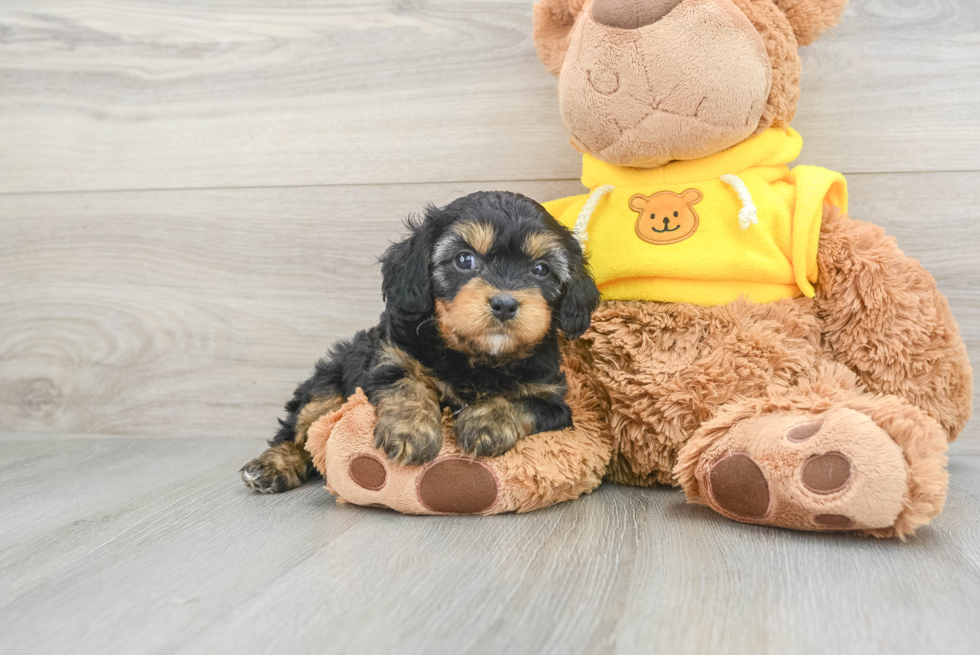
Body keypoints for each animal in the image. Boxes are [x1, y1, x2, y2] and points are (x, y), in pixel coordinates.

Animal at [241, 192, 600, 494]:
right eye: (464, 260)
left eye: (541, 269)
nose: (505, 304)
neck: (476, 357)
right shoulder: (392, 357)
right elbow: (407, 385)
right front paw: (410, 432)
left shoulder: (553, 401)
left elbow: (523, 402)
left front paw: (487, 422)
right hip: (327, 382)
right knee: (301, 426)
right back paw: (271, 466)